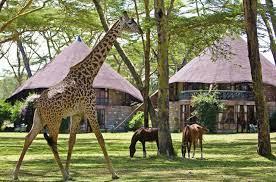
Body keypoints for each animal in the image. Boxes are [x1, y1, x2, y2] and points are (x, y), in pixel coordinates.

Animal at [12, 12, 141, 181]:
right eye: (130, 22)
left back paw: (16, 174)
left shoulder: (77, 113)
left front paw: (70, 171)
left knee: (29, 138)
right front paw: (114, 173)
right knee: (52, 141)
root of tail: (38, 103)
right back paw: (63, 175)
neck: (90, 74)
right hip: (54, 120)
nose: (140, 30)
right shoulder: (90, 108)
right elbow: (100, 138)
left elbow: (72, 141)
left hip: (39, 119)